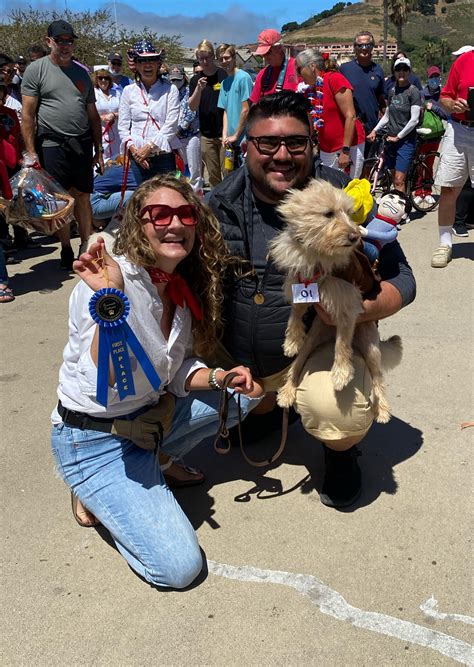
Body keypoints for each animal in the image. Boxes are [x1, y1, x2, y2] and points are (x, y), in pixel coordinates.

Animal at [268, 179, 402, 422]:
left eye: (350, 213)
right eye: (328, 214)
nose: (355, 237)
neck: (318, 253)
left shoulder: (346, 305)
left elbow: (342, 345)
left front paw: (340, 374)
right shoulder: (299, 286)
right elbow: (294, 316)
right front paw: (291, 342)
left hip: (371, 347)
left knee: (378, 379)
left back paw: (382, 410)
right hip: (313, 339)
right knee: (297, 365)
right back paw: (287, 392)